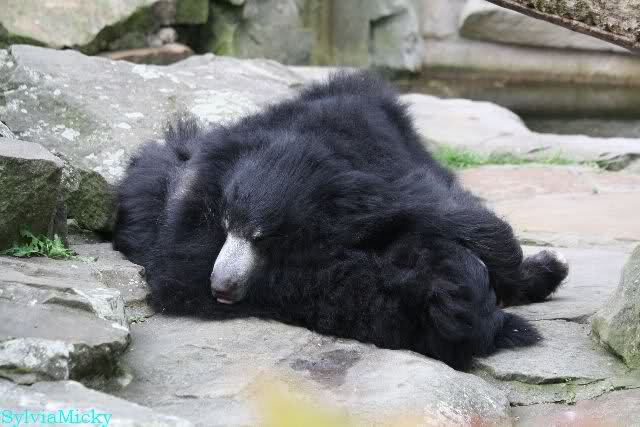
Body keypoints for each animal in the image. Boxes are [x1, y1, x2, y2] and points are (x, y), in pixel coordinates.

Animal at [113, 72, 568, 370]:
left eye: (262, 238)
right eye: (226, 225)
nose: (222, 285)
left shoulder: (386, 174)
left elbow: (446, 212)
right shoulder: (187, 221)